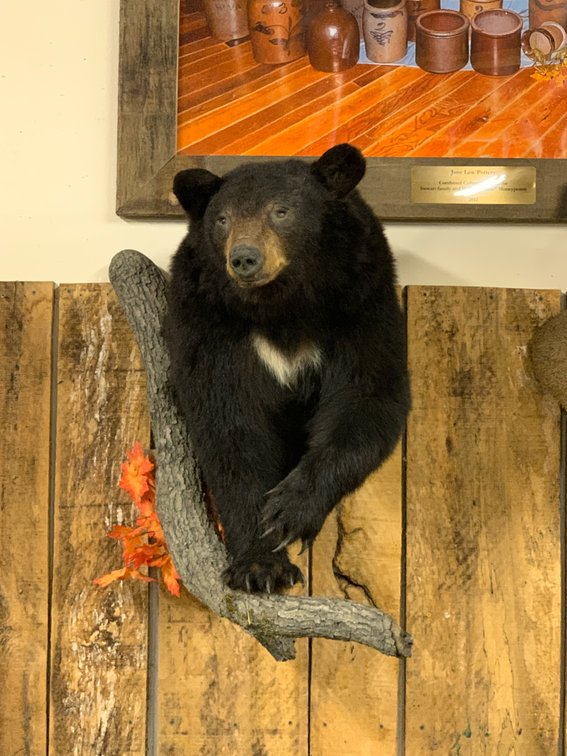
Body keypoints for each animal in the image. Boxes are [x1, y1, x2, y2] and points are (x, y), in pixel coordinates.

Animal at [164, 143, 410, 594]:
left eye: (281, 211)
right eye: (223, 218)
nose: (244, 258)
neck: (282, 306)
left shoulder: (360, 302)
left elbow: (367, 396)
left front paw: (288, 513)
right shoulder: (211, 321)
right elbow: (228, 422)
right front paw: (261, 565)